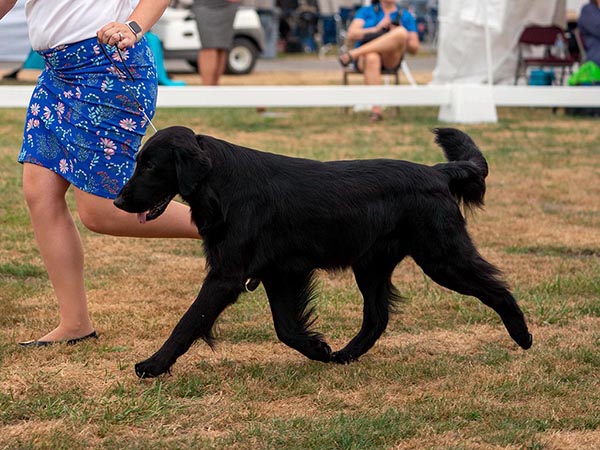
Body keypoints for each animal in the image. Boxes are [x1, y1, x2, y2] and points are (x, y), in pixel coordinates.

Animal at [115, 125, 532, 376]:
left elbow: (189, 321)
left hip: (441, 257)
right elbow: (286, 328)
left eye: (149, 165)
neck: (222, 184)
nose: (118, 201)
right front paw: (318, 348)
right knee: (377, 317)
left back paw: (522, 335)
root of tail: (438, 171)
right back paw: (346, 354)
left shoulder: (227, 276)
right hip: (372, 265)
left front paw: (153, 364)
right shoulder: (278, 273)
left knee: (495, 287)